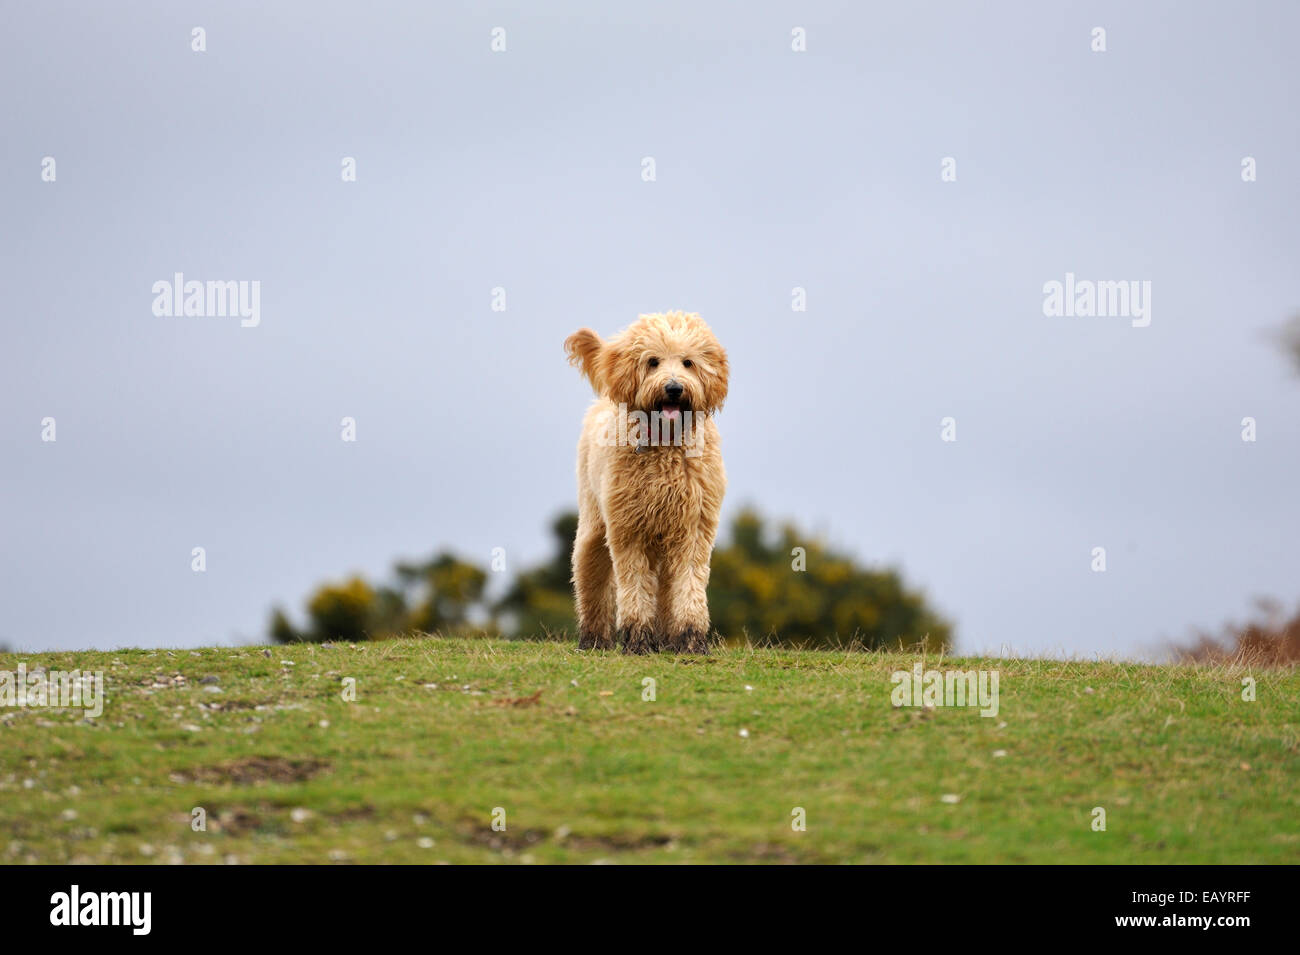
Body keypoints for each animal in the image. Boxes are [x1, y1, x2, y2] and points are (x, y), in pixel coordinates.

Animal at [561, 314, 733, 657]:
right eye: (653, 361)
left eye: (688, 362)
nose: (674, 388)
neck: (666, 443)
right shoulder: (629, 530)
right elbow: (635, 587)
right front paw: (638, 640)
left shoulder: (693, 529)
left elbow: (689, 585)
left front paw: (690, 639)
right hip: (594, 523)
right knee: (591, 578)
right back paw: (593, 638)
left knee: (666, 589)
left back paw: (667, 638)